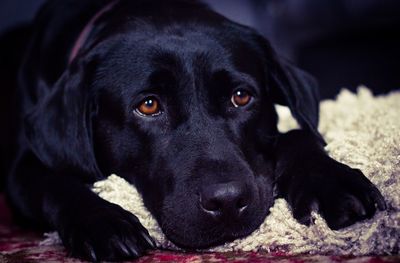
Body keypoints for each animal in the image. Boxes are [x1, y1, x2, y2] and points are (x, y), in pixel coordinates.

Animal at [1, 0, 386, 262]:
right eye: (148, 105)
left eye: (241, 96)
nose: (227, 202)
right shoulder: (22, 167)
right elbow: (55, 183)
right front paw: (106, 222)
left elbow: (299, 136)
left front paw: (332, 181)